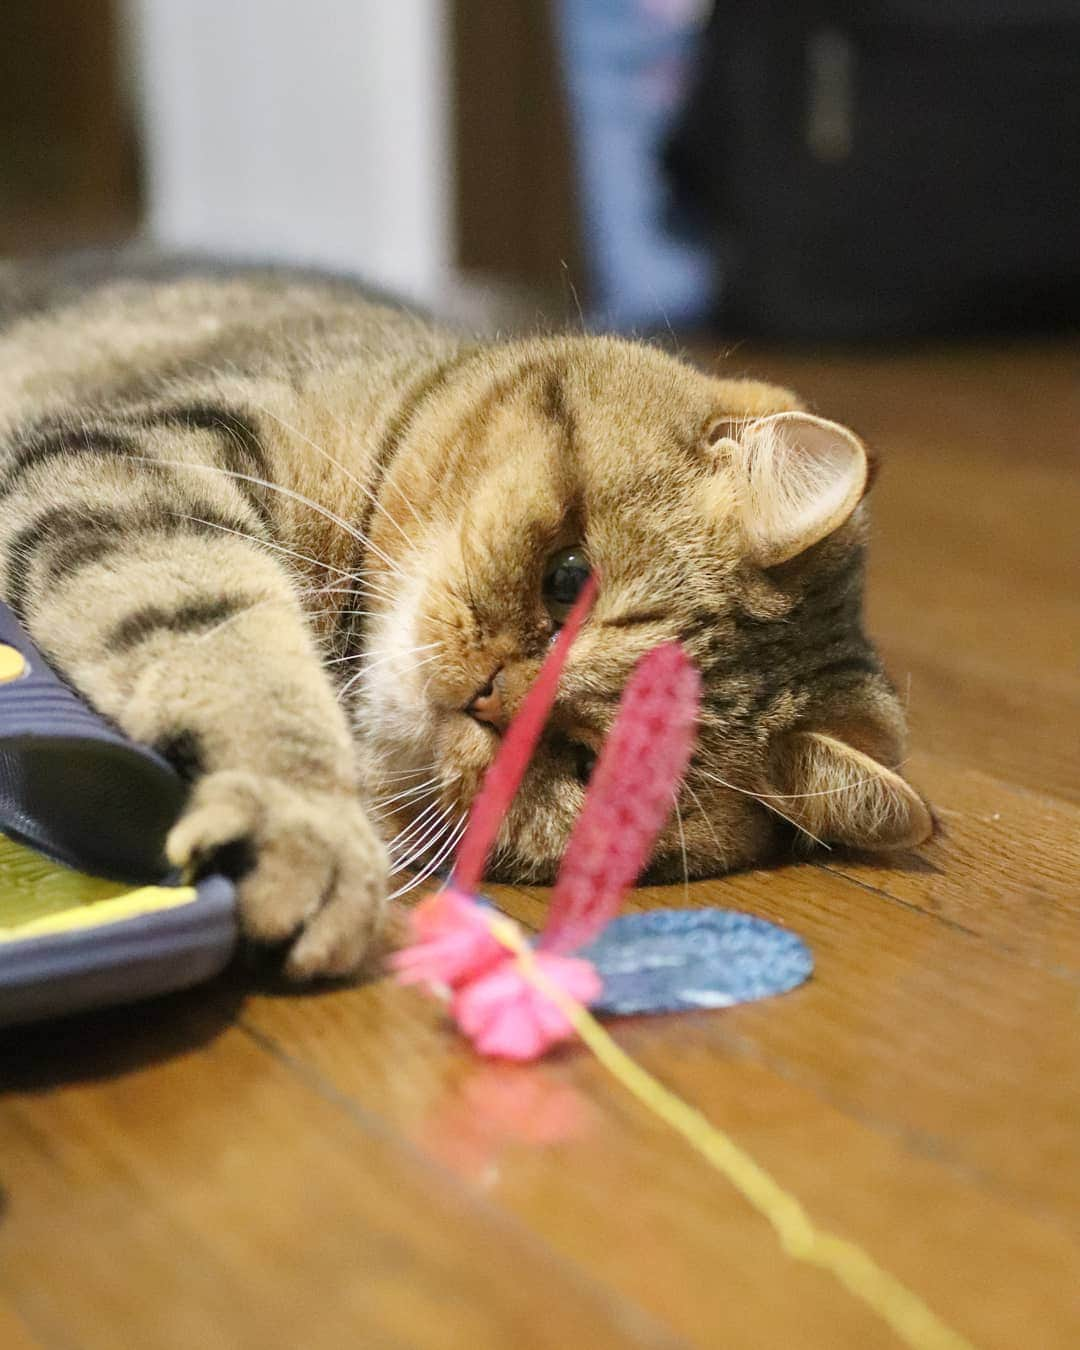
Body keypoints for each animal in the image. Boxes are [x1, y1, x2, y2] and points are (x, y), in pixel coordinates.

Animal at [0, 253, 928, 977]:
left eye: (587, 764)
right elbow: (233, 649)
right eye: (567, 579)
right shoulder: (137, 458)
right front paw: (305, 821)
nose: (485, 697)